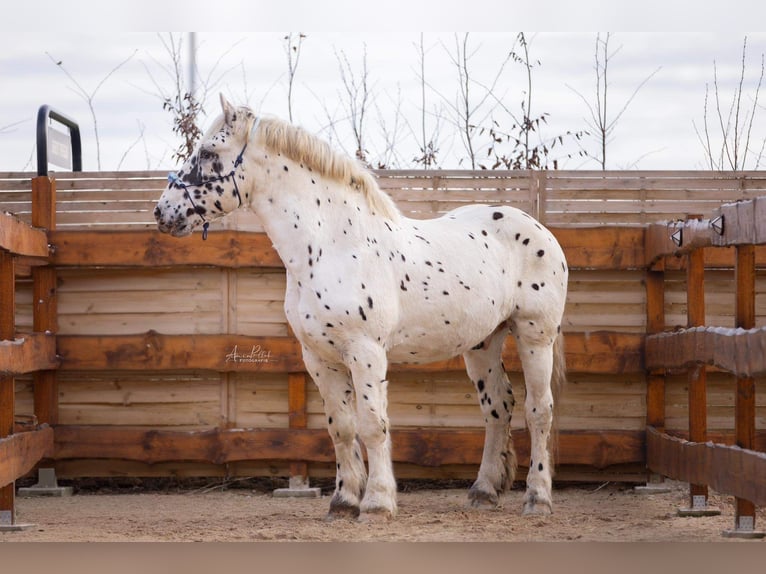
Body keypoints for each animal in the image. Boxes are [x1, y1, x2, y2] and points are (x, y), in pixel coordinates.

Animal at [153, 97, 568, 524]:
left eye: (208, 153)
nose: (162, 211)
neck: (331, 245)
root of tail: (540, 230)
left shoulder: (366, 353)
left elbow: (372, 426)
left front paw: (377, 503)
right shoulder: (319, 358)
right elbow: (342, 428)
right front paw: (343, 501)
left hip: (535, 335)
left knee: (539, 411)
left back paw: (538, 498)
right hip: (483, 342)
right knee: (498, 407)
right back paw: (484, 491)